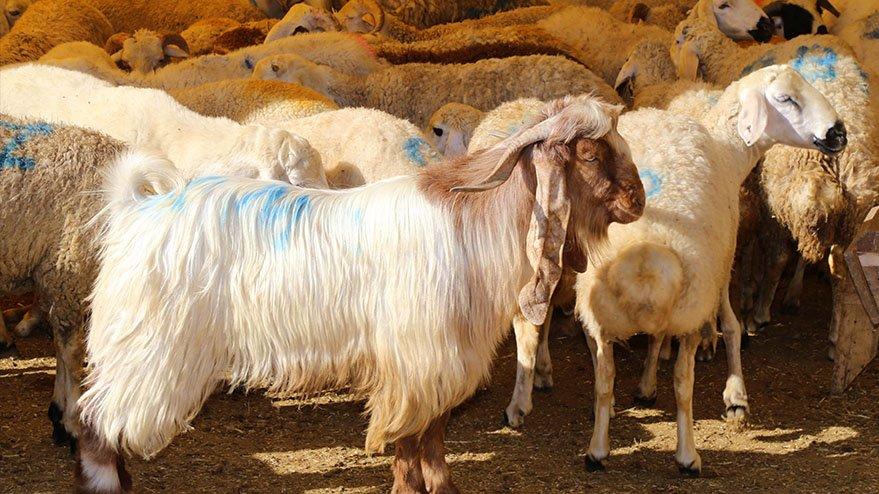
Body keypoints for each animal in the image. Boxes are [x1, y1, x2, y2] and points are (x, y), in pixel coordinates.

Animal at [72, 95, 644, 494]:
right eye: (589, 153)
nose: (638, 201)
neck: (474, 222)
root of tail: (136, 208)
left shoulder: (438, 361)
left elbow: (432, 440)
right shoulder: (418, 360)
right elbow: (411, 446)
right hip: (150, 352)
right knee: (95, 421)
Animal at [576, 63, 844, 472]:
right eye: (786, 99)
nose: (838, 133)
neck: (726, 149)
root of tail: (643, 255)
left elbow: (656, 338)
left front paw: (646, 384)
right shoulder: (721, 263)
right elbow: (730, 326)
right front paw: (736, 396)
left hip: (599, 314)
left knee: (604, 377)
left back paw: (597, 448)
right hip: (690, 302)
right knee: (682, 384)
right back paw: (688, 455)